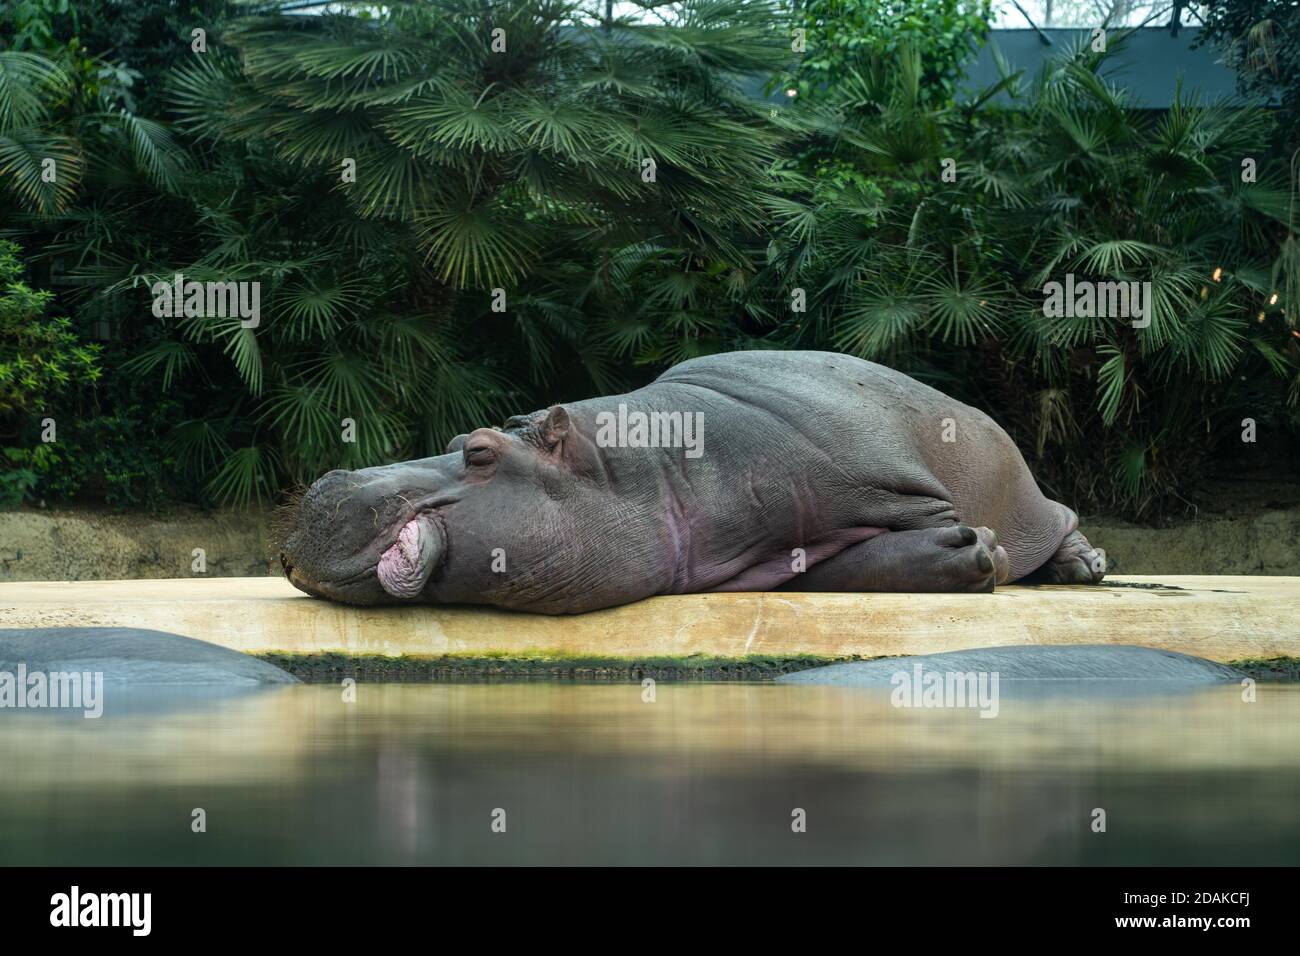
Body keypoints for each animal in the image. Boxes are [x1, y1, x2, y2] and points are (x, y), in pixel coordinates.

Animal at [278, 350, 1106, 613]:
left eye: (479, 452)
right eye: (454, 440)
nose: (328, 479)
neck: (644, 471)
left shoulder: (897, 486)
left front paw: (980, 550)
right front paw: (972, 551)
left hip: (1030, 490)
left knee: (1063, 518)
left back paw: (1084, 564)